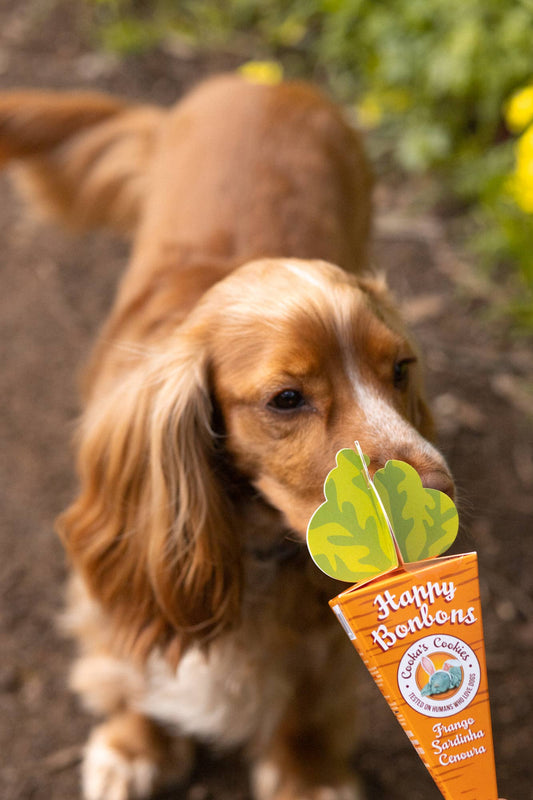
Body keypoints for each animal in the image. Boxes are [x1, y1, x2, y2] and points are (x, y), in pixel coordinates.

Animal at [0, 76, 454, 800]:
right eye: (287, 399)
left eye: (401, 370)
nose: (441, 496)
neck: (255, 537)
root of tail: (261, 82)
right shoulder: (124, 551)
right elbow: (128, 658)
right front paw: (136, 743)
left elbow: (311, 694)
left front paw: (307, 773)